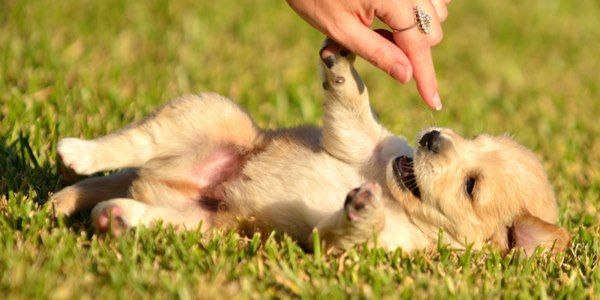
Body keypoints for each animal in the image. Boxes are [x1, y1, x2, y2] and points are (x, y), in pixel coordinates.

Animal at [49, 39, 568, 255]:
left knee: (138, 200)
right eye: (472, 139)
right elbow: (352, 104)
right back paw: (79, 159)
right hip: (212, 113)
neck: (399, 200)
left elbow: (347, 234)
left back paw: (115, 215)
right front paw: (341, 60)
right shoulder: (366, 144)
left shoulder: (360, 245)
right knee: (133, 144)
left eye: (471, 187)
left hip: (201, 225)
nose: (433, 137)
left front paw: (363, 210)